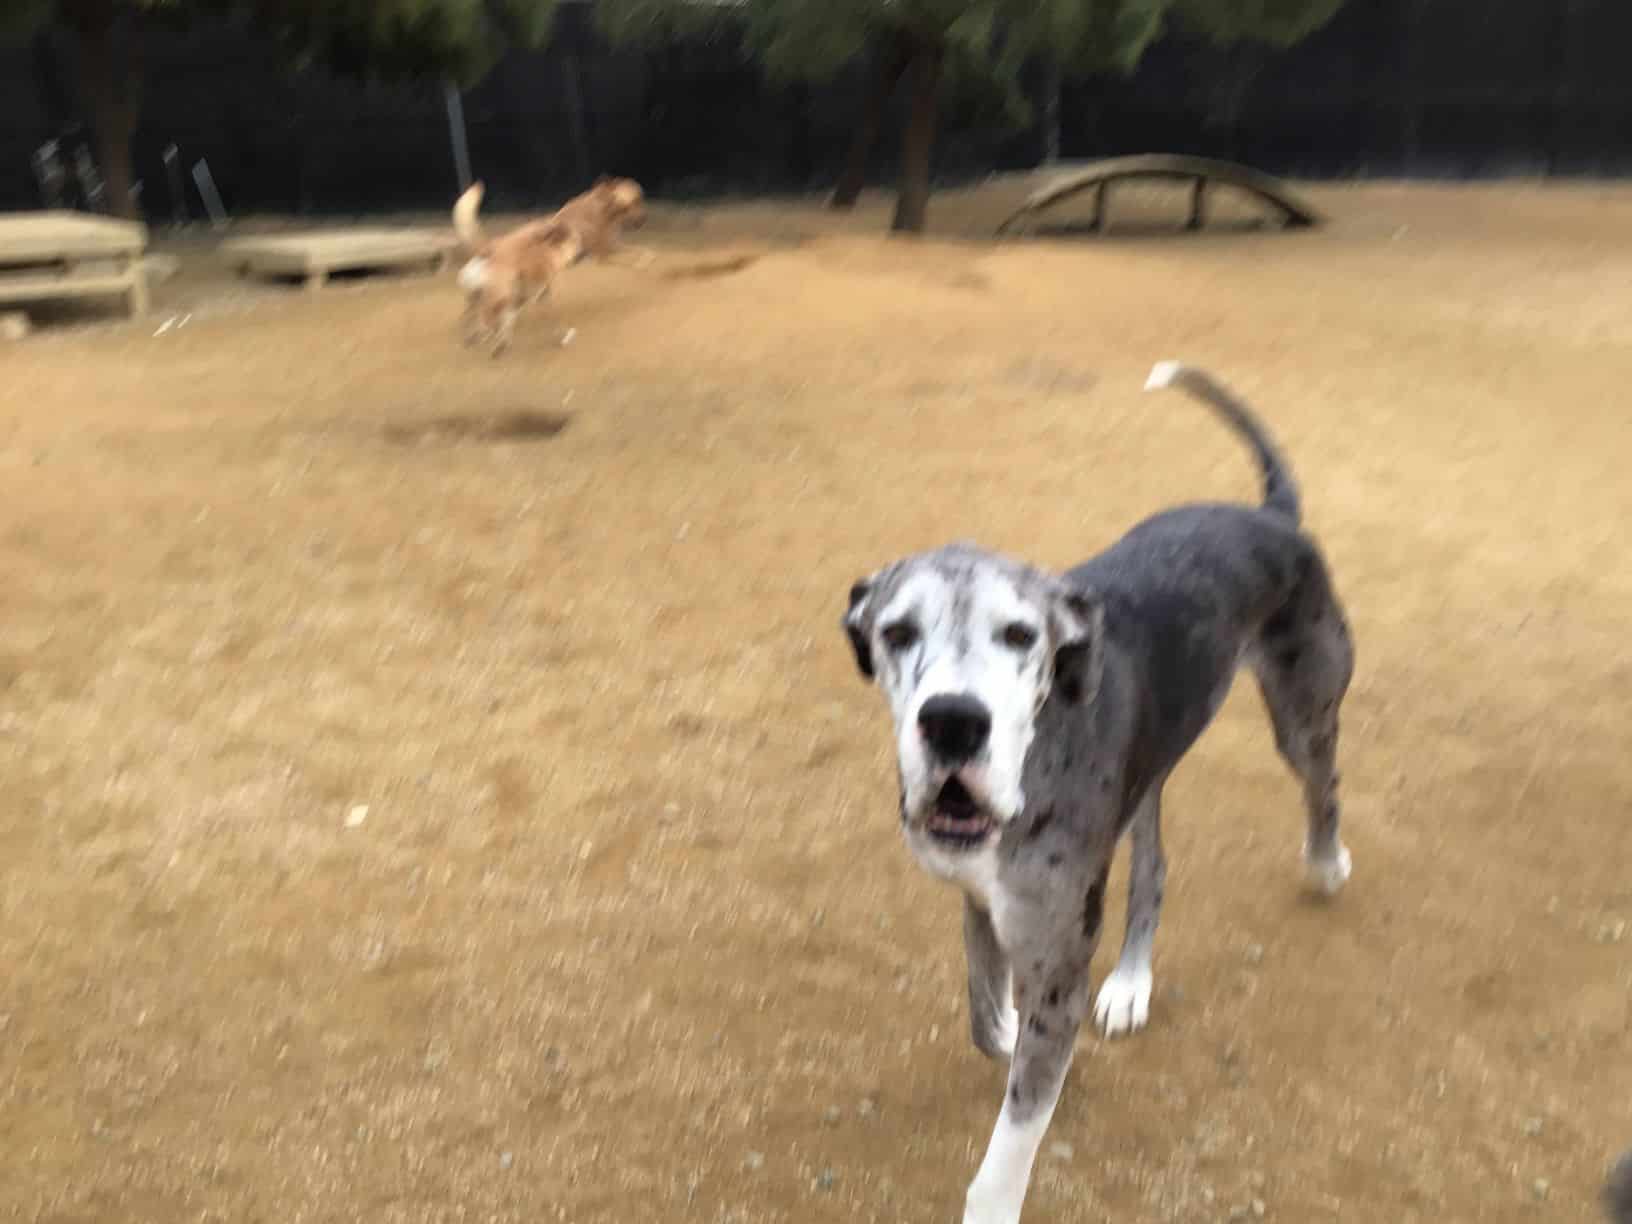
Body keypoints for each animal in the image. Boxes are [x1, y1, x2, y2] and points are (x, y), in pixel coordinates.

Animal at [451, 175, 650, 356]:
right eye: (636, 201)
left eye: (640, 199)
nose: (643, 220)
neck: (602, 207)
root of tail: (488, 247)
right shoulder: (606, 253)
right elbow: (637, 255)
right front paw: (643, 263)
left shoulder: (612, 246)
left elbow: (640, 251)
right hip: (506, 293)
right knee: (486, 316)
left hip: (501, 293)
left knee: (473, 315)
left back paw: (477, 336)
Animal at [841, 362, 1355, 1224]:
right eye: (897, 633)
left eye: (1021, 635)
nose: (953, 722)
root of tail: (1271, 517)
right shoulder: (982, 896)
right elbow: (987, 1017)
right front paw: (1018, 1036)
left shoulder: (1055, 947)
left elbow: (1014, 1134)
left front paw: (999, 1184)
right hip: (1147, 777)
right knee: (1153, 872)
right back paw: (1129, 984)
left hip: (1302, 714)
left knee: (1325, 786)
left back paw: (1325, 865)